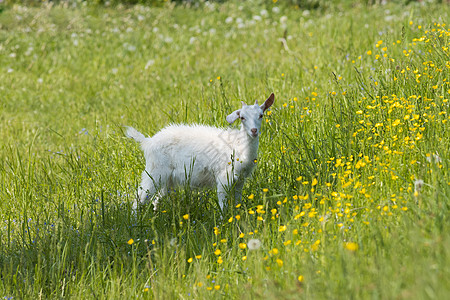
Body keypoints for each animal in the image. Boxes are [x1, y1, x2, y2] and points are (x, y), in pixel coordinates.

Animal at [126, 93, 274, 211]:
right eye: (242, 117)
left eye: (261, 115)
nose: (254, 131)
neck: (238, 145)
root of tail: (148, 142)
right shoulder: (223, 178)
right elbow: (222, 203)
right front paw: (224, 222)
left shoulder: (240, 180)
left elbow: (237, 201)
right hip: (153, 172)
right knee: (139, 198)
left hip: (167, 179)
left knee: (157, 198)